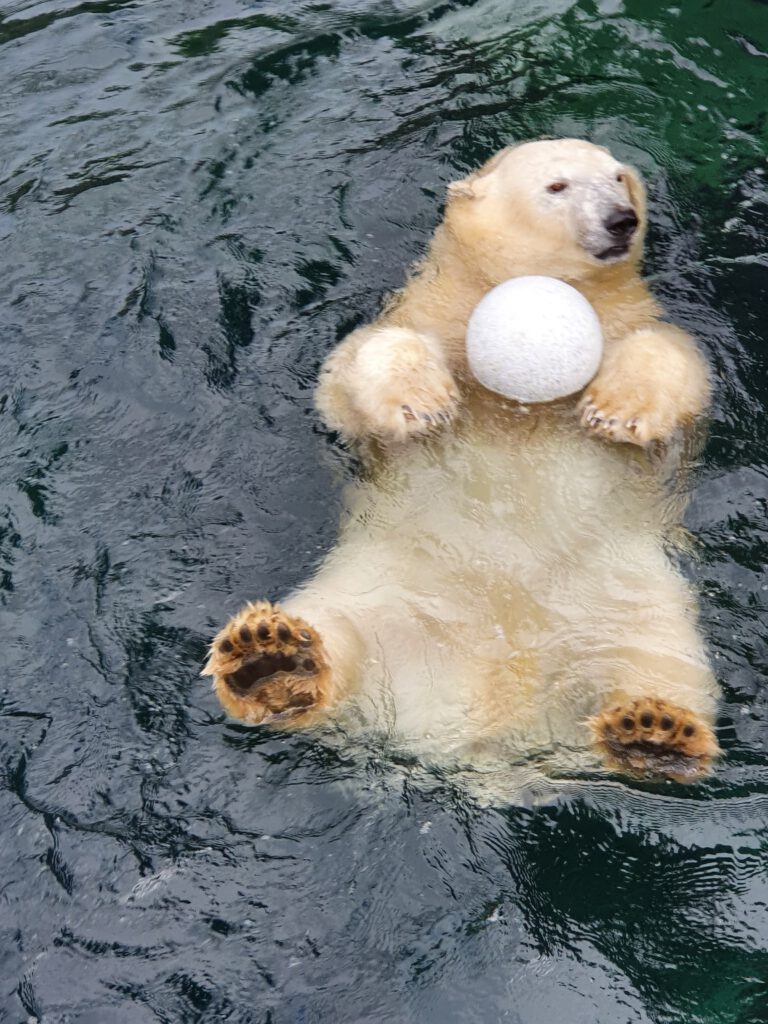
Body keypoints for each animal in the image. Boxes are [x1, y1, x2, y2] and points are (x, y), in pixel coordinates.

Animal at [202, 140, 720, 782]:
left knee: (662, 663)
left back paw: (654, 730)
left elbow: (673, 359)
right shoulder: (424, 316)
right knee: (335, 635)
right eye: (557, 185)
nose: (620, 219)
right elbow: (358, 362)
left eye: (619, 177)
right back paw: (269, 661)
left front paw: (615, 411)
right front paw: (424, 404)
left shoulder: (642, 336)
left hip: (634, 607)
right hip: (376, 595)